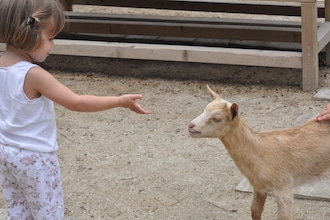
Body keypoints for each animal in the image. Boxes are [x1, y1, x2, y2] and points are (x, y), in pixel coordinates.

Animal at [189, 85, 330, 219]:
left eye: (216, 118)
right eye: (204, 110)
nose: (190, 126)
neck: (260, 152)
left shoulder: (283, 186)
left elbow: (284, 217)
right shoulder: (258, 187)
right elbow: (255, 211)